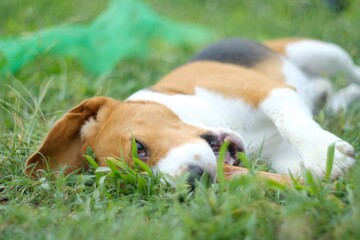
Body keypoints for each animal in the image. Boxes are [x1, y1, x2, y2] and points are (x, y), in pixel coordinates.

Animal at [24, 37, 358, 185]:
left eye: (139, 147)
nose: (192, 180)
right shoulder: (281, 156)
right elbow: (298, 167)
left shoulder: (270, 92)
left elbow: (290, 122)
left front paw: (324, 153)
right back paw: (334, 98)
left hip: (321, 51)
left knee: (352, 70)